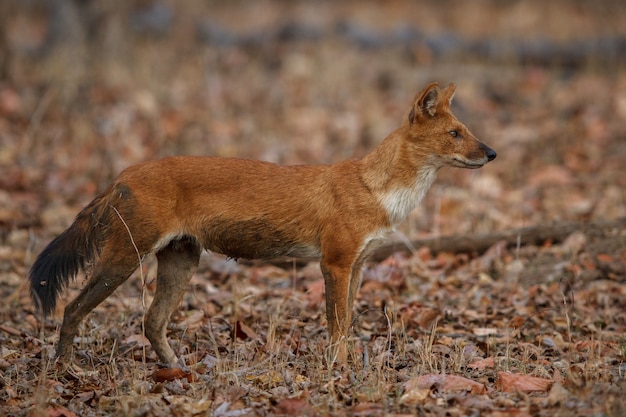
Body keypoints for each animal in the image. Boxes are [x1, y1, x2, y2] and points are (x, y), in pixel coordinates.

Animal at [29, 82, 494, 368]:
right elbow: (337, 325)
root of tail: (121, 175)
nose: (491, 153)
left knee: (151, 321)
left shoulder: (359, 264)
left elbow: (347, 323)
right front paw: (339, 370)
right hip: (123, 260)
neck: (377, 188)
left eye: (467, 130)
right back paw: (65, 369)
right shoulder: (335, 263)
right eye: (455, 134)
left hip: (182, 261)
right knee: (73, 308)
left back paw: (177, 370)